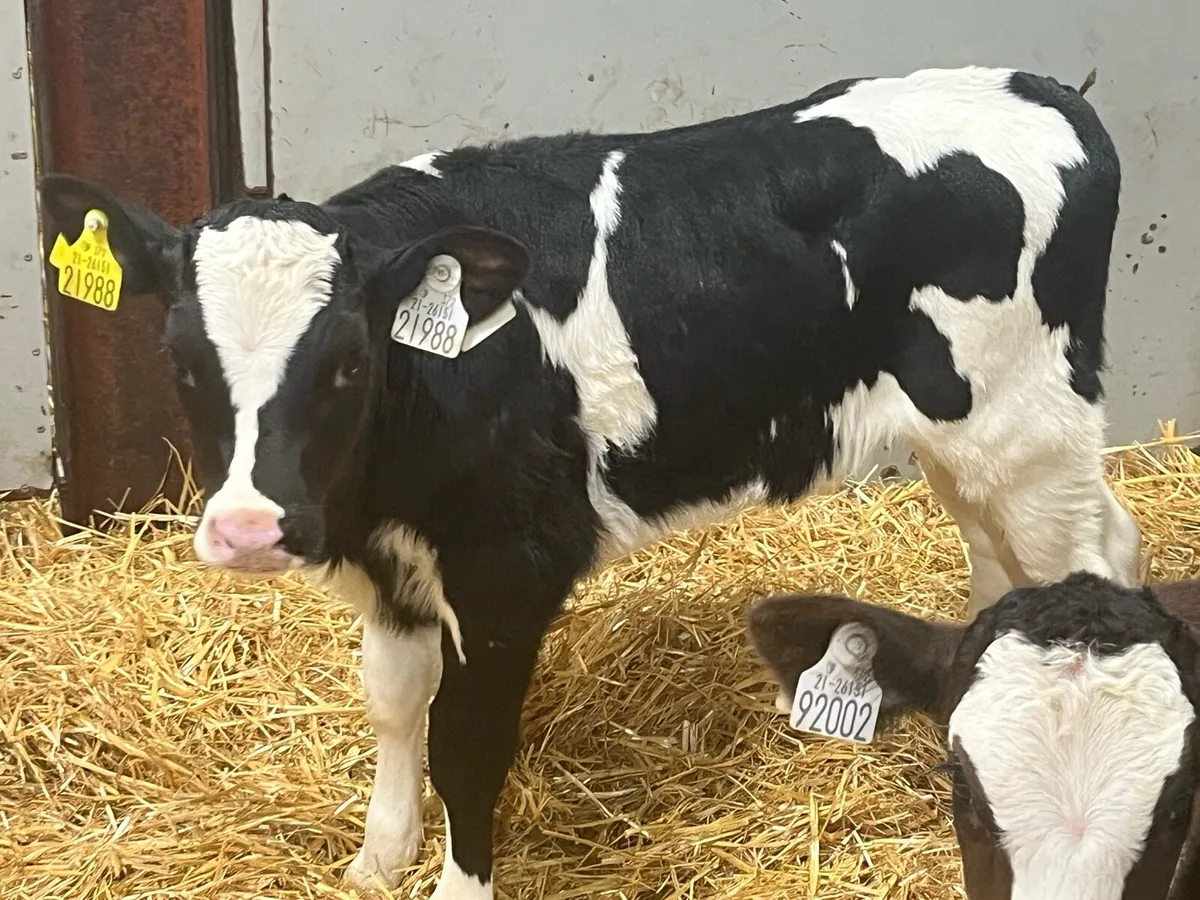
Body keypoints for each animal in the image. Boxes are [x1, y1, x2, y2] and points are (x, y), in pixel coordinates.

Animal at [40, 65, 1143, 899]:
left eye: (347, 362)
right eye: (181, 359)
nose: (247, 530)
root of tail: (1044, 89)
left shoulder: (506, 570)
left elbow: (467, 742)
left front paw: (454, 885)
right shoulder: (390, 561)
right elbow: (394, 701)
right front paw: (377, 857)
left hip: (1030, 428)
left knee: (1096, 572)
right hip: (971, 443)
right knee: (1012, 565)